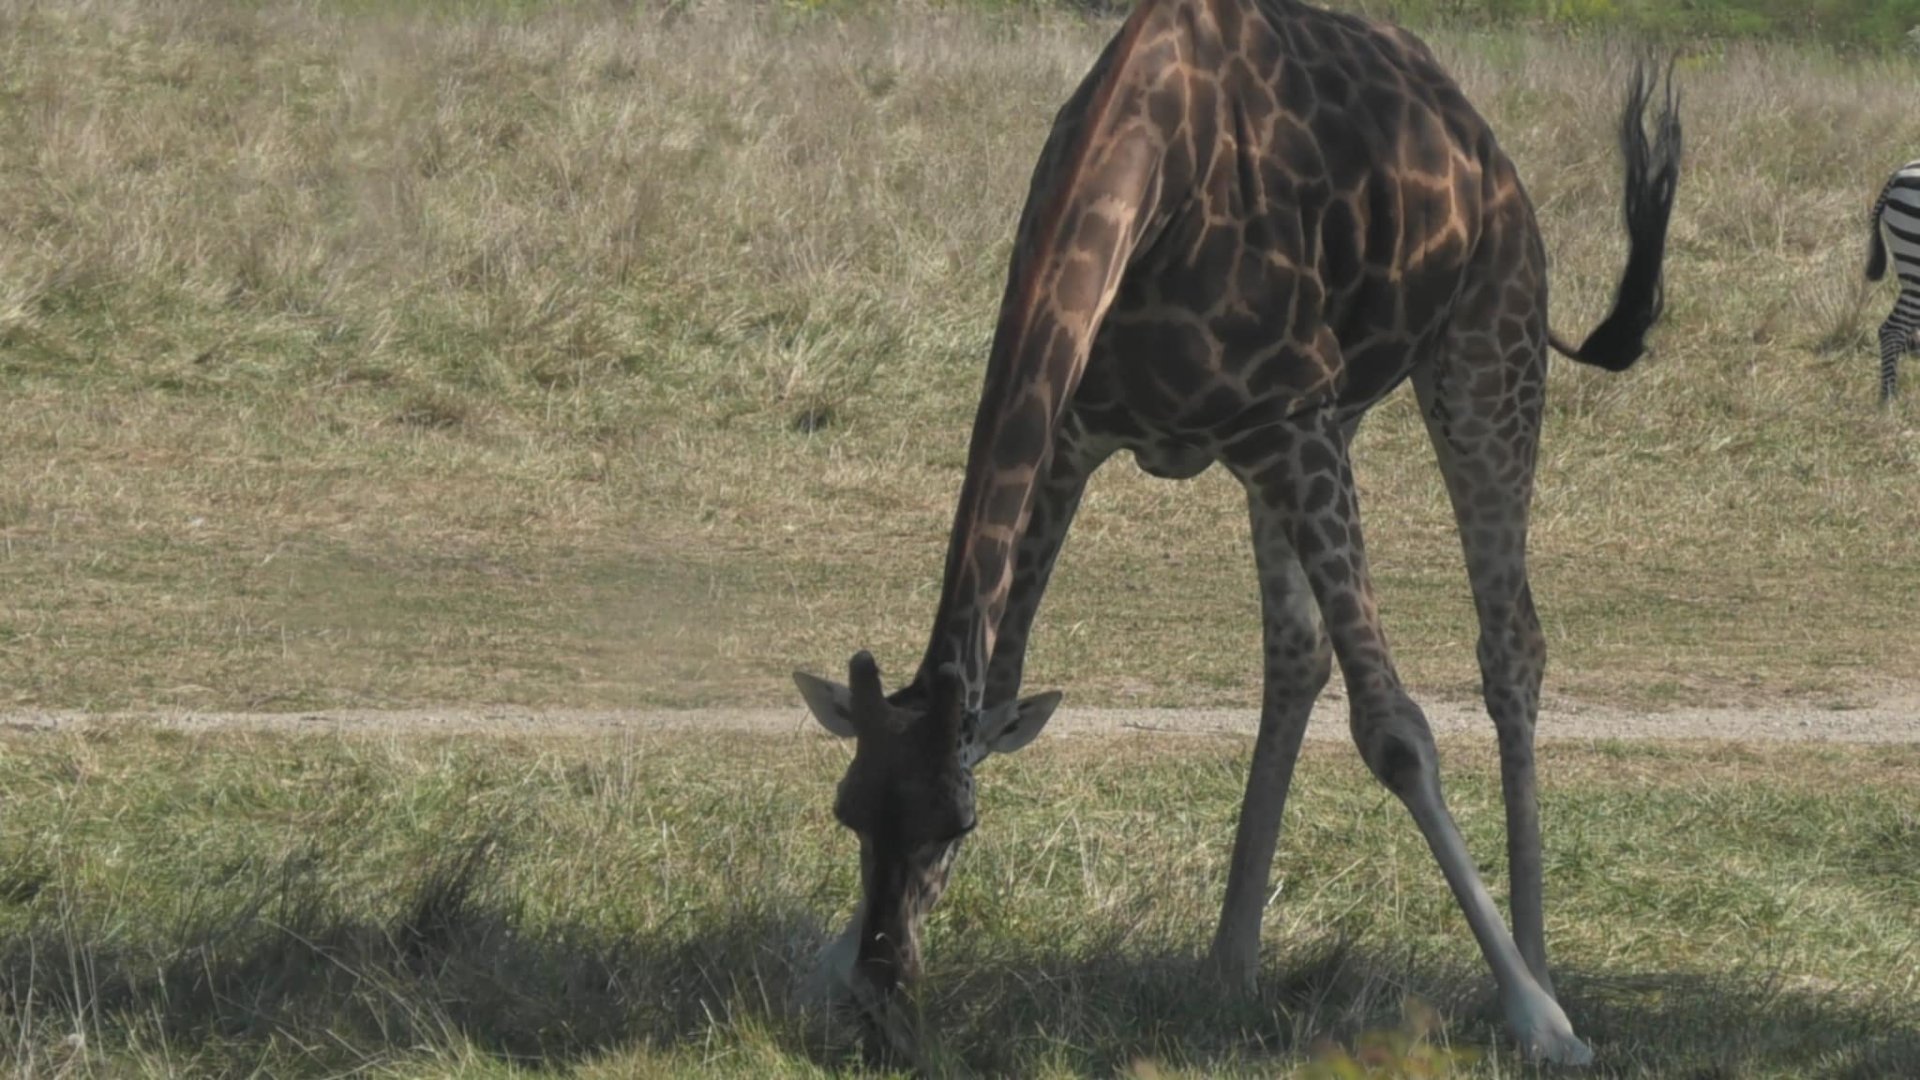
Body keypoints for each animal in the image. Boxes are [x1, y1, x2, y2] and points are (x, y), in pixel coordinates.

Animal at [793, 0, 1680, 1065]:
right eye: (848, 815)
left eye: (957, 828)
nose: (880, 996)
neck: (1147, 171)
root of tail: (1480, 141)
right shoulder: (1079, 436)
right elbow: (1000, 689)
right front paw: (828, 960)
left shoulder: (1286, 422)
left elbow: (1396, 733)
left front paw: (1541, 1022)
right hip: (1329, 425)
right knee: (1296, 652)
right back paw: (1230, 963)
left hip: (1484, 348)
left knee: (1511, 645)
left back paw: (1540, 970)